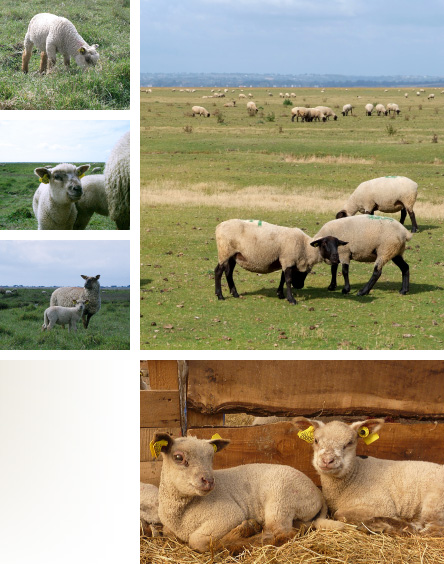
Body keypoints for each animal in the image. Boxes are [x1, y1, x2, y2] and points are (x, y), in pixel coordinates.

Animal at [153, 434, 332, 552]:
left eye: (211, 457)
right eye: (178, 457)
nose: (209, 480)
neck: (181, 515)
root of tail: (318, 493)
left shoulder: (228, 515)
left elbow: (199, 542)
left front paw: (240, 533)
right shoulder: (169, 529)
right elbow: (168, 533)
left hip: (282, 499)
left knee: (281, 533)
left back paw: (254, 534)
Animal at [213, 218, 348, 304]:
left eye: (337, 245)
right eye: (324, 244)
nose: (336, 258)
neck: (305, 247)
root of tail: (219, 226)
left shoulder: (286, 260)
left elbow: (283, 278)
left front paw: (280, 294)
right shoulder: (287, 259)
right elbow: (288, 280)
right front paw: (291, 299)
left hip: (234, 255)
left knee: (228, 272)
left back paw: (235, 293)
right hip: (224, 252)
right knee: (218, 271)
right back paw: (220, 295)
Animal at [294, 416, 444, 536]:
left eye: (349, 442)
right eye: (316, 440)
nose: (327, 460)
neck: (355, 475)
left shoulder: (381, 505)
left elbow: (339, 514)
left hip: (434, 503)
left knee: (431, 530)